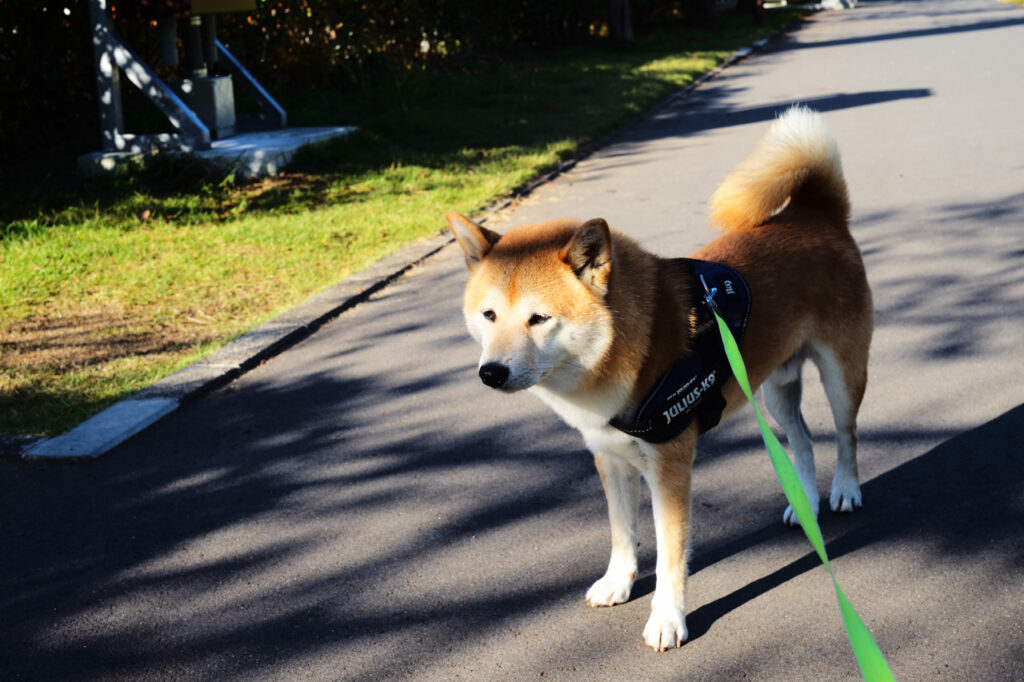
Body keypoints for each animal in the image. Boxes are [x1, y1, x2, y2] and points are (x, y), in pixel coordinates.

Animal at [446, 106, 872, 647]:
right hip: (775, 388)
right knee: (803, 439)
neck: (621, 353)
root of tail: (816, 213)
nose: (491, 372)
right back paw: (805, 503)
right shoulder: (609, 456)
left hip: (841, 376)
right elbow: (622, 533)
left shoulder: (669, 467)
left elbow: (671, 555)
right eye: (489, 315)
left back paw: (844, 490)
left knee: (845, 433)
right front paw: (618, 582)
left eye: (538, 319)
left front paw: (668, 618)